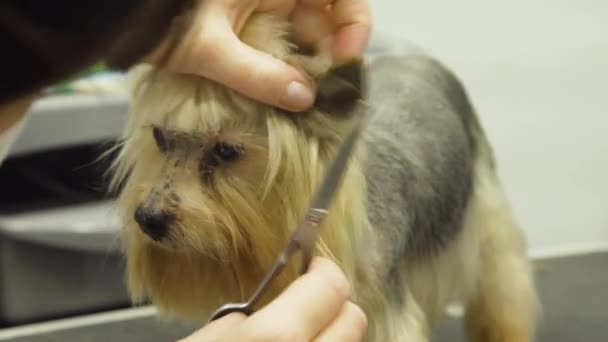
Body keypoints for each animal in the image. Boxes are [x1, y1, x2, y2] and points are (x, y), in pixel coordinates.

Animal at [111, 14, 540, 342]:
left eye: (227, 151)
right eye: (160, 138)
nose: (148, 218)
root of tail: (421, 60)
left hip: (487, 213)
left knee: (502, 291)